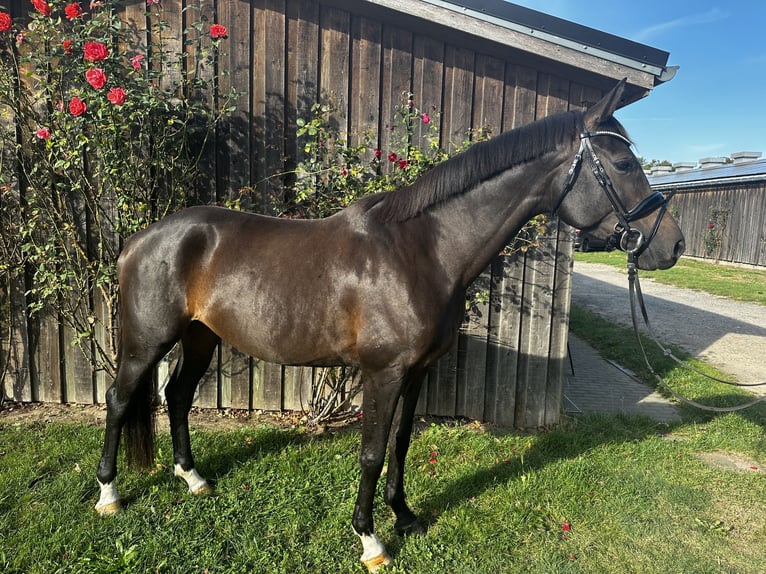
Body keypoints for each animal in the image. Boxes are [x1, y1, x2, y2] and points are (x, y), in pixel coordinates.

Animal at [95, 79, 684, 571]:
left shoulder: (417, 371)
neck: (422, 250)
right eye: (624, 163)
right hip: (146, 342)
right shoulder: (383, 373)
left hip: (201, 337)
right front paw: (371, 539)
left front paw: (405, 516)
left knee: (176, 396)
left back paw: (193, 478)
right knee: (120, 400)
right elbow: (373, 452)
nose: (673, 245)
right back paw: (109, 495)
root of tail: (139, 239)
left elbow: (401, 443)